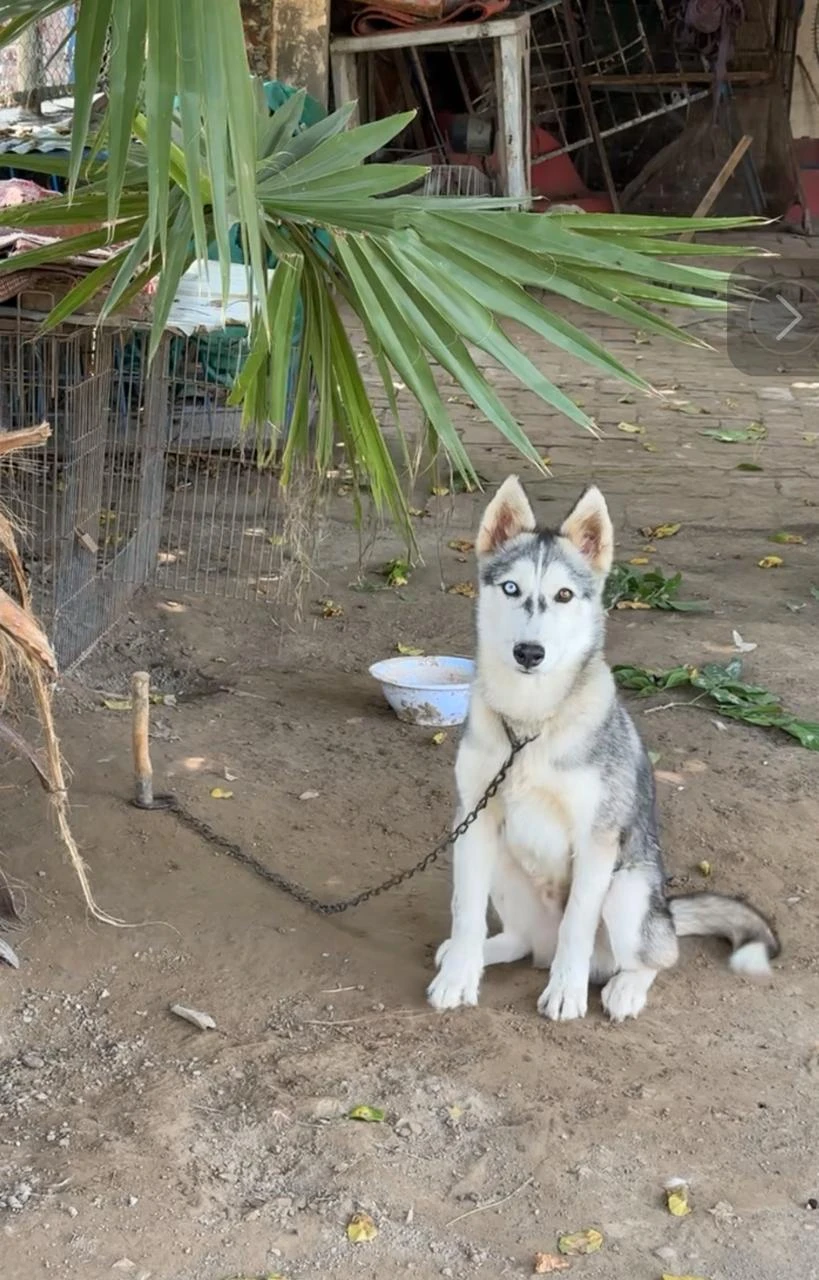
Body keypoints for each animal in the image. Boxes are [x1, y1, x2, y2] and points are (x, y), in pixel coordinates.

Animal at [429, 476, 778, 1024]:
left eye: (564, 595)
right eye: (511, 589)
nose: (529, 652)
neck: (530, 723)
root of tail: (665, 911)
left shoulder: (595, 841)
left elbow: (576, 924)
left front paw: (566, 994)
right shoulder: (474, 821)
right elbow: (466, 913)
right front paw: (457, 977)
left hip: (628, 891)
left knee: (655, 956)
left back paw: (624, 987)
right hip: (505, 864)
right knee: (522, 941)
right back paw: (488, 953)